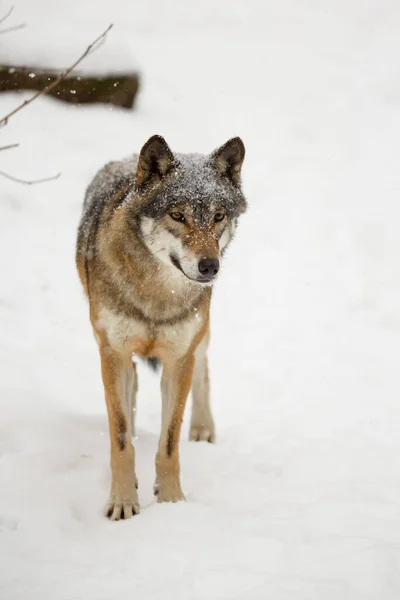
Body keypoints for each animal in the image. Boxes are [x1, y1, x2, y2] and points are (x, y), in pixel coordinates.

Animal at [73, 134, 245, 516]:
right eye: (177, 216)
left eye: (218, 216)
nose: (209, 266)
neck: (156, 294)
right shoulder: (113, 352)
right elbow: (120, 438)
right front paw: (123, 502)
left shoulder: (178, 360)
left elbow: (169, 444)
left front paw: (171, 502)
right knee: (132, 390)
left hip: (200, 335)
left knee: (203, 369)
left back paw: (202, 428)